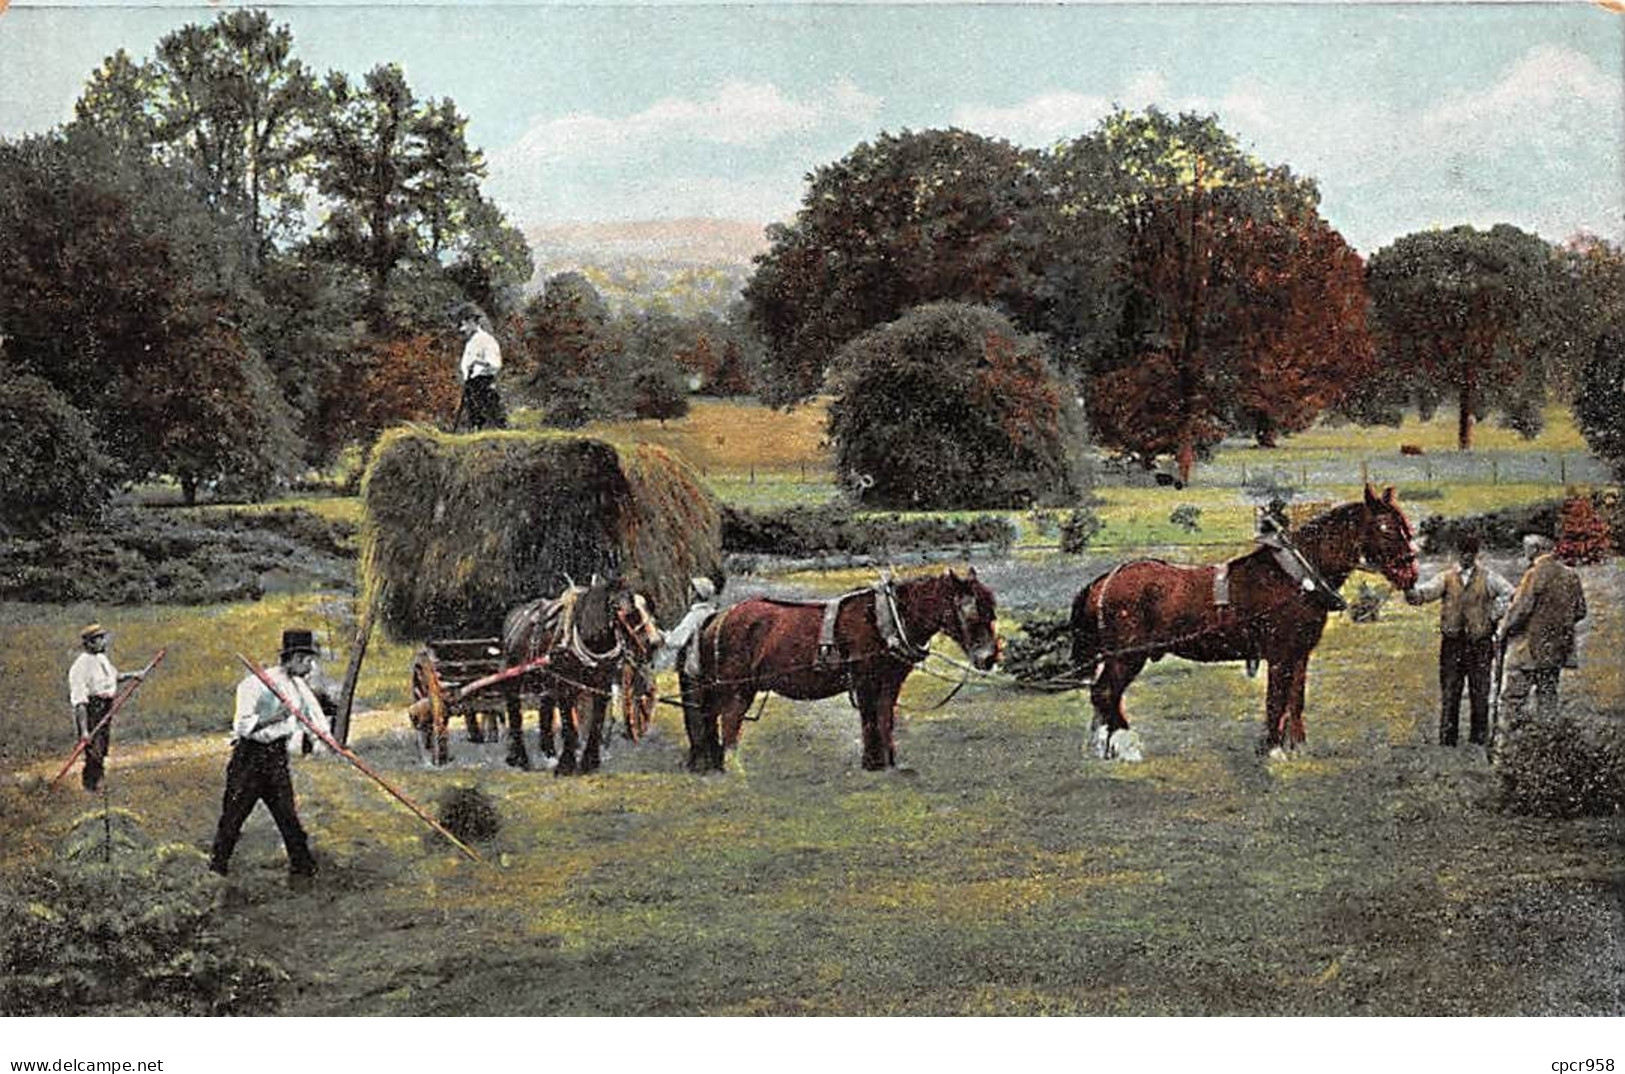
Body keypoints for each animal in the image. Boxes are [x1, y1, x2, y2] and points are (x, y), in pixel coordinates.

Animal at [503, 578, 663, 770]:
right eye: (628, 611)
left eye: (649, 608)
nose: (655, 642)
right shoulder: (566, 686)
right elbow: (570, 725)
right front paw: (566, 764)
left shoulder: (601, 686)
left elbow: (596, 722)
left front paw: (590, 761)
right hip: (514, 679)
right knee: (515, 713)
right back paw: (519, 757)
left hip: (547, 683)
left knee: (545, 710)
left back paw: (548, 753)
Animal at [679, 568, 994, 770]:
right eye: (972, 612)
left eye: (992, 612)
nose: (989, 658)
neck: (884, 619)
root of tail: (718, 617)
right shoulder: (865, 682)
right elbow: (869, 720)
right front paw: (872, 762)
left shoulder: (890, 682)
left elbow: (884, 719)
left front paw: (889, 761)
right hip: (737, 687)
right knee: (730, 721)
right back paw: (733, 767)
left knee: (712, 719)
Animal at [1072, 487, 1417, 753]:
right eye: (1387, 528)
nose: (1410, 575)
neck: (1295, 577)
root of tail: (1103, 581)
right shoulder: (1279, 654)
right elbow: (1275, 699)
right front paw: (1272, 747)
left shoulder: (1299, 653)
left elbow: (1295, 699)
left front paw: (1296, 745)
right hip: (1126, 656)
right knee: (1105, 693)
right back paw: (1125, 746)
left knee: (1104, 696)